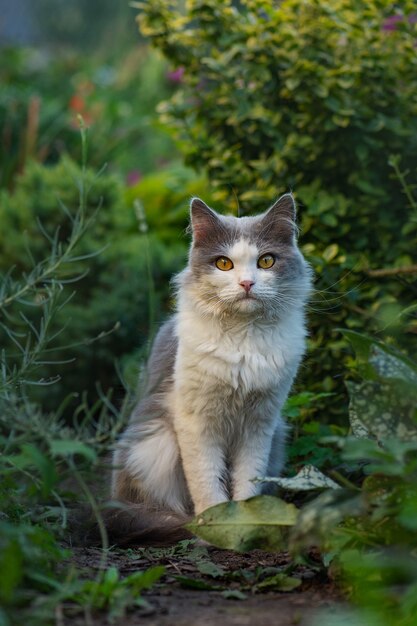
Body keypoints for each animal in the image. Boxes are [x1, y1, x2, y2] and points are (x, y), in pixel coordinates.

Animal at [108, 194, 312, 540]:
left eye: (266, 261)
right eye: (224, 264)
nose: (247, 283)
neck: (244, 341)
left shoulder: (261, 422)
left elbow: (247, 479)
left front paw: (244, 525)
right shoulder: (195, 421)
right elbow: (206, 480)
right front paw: (215, 527)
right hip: (154, 444)